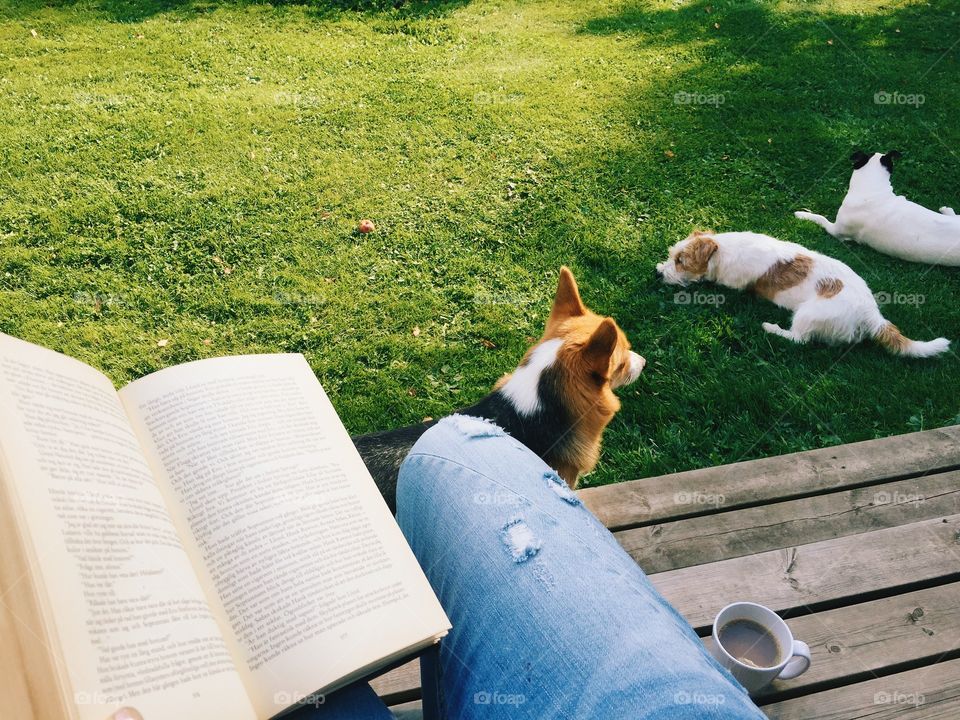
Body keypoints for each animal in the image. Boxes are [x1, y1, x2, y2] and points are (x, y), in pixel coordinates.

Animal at [656, 231, 948, 358]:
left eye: (681, 261)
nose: (658, 274)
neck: (723, 249)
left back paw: (771, 327)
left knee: (799, 339)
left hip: (807, 314)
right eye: (673, 256)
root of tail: (872, 316)